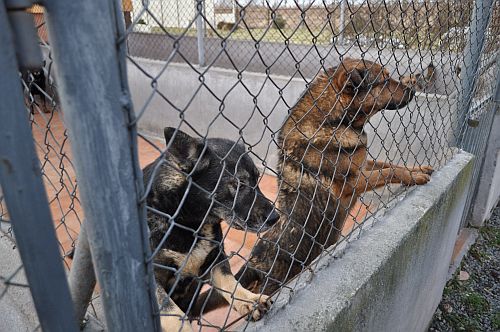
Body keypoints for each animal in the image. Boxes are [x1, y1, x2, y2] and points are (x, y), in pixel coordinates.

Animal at [146, 126, 282, 330]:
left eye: (257, 179)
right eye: (238, 184)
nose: (275, 217)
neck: (188, 222)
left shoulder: (215, 258)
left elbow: (230, 283)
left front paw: (249, 301)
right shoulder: (153, 279)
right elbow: (172, 313)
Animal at [195, 57, 434, 314]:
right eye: (383, 80)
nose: (413, 89)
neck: (334, 120)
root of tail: (252, 262)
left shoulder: (363, 165)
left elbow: (389, 164)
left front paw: (418, 169)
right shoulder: (352, 182)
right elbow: (389, 171)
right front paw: (415, 177)